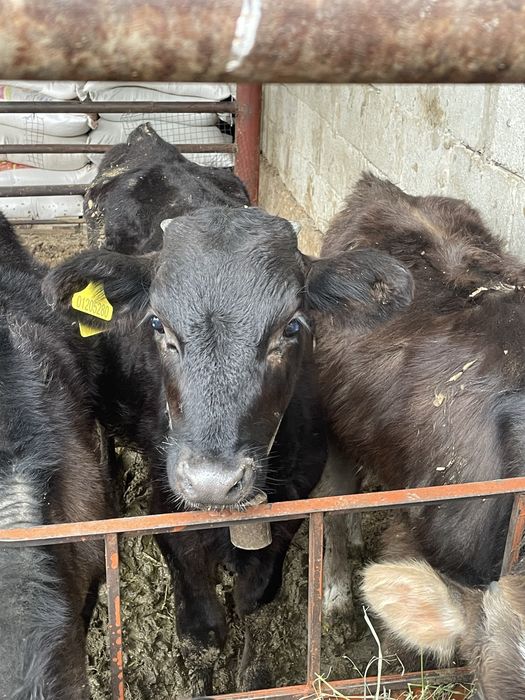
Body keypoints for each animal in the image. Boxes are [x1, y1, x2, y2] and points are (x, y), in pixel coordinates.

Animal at [43, 127, 414, 694]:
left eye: (292, 326)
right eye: (158, 324)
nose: (213, 482)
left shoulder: (293, 501)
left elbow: (254, 598)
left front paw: (251, 672)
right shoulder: (167, 504)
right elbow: (202, 628)